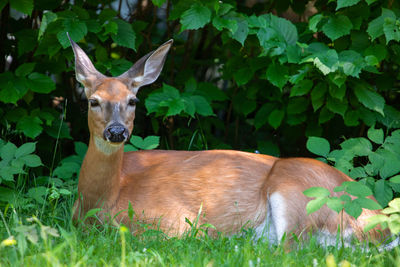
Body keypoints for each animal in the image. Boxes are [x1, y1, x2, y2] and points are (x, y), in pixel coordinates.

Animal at [68, 36, 390, 249]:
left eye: (132, 101)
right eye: (93, 101)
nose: (117, 131)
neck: (105, 198)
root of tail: (381, 223)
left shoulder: (172, 223)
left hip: (299, 190)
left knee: (288, 250)